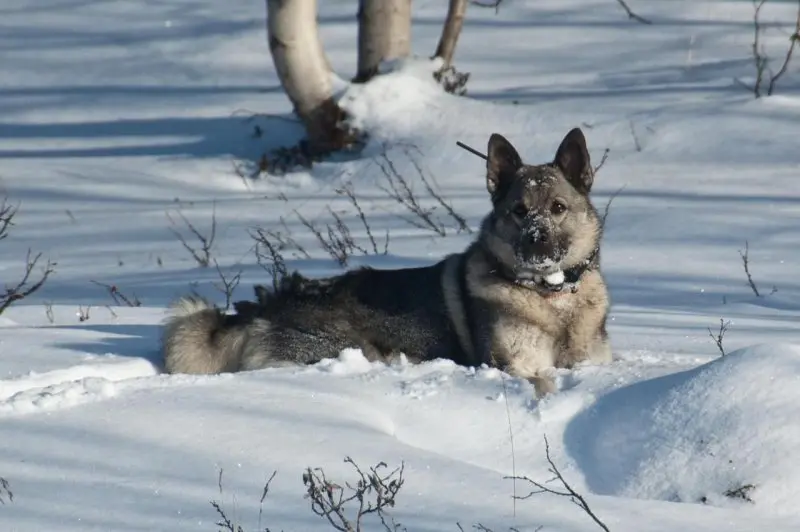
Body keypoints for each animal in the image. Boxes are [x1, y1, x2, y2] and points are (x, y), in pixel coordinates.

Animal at [162, 128, 612, 394]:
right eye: (519, 211)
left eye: (557, 208)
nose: (536, 243)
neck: (552, 299)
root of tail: (264, 307)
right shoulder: (515, 366)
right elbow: (544, 383)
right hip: (355, 348)